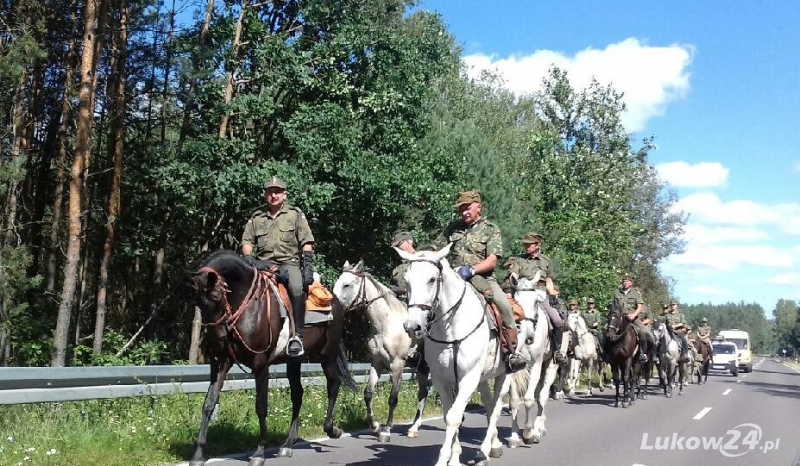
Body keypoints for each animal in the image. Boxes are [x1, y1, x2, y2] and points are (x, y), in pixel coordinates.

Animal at [188, 251, 356, 466]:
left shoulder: (261, 364)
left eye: (217, 296)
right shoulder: (221, 363)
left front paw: (259, 452)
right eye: (197, 302)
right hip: (295, 361)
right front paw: (199, 454)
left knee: (333, 384)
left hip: (327, 354)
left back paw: (332, 429)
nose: (217, 339)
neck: (247, 304)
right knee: (298, 394)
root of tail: (335, 301)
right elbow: (208, 404)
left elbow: (261, 406)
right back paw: (288, 444)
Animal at [332, 260, 432, 442]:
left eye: (347, 284)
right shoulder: (377, 363)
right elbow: (368, 393)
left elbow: (393, 398)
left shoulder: (398, 365)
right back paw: (414, 428)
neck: (387, 325)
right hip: (422, 367)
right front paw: (375, 426)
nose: (332, 306)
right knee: (423, 392)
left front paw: (386, 430)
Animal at [396, 244, 510, 466]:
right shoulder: (441, 379)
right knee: (489, 404)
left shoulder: (468, 378)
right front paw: (454, 457)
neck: (451, 329)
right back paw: (495, 446)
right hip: (483, 378)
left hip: (506, 374)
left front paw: (444, 460)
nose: (413, 326)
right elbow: (449, 415)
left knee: (496, 409)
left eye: (432, 279)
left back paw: (484, 451)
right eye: (407, 279)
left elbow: (455, 417)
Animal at [510, 276, 560, 448]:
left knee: (542, 396)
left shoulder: (536, 365)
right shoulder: (512, 368)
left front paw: (528, 434)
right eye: (515, 301)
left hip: (551, 365)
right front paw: (513, 437)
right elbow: (514, 402)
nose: (528, 335)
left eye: (535, 302)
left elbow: (529, 400)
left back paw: (538, 431)